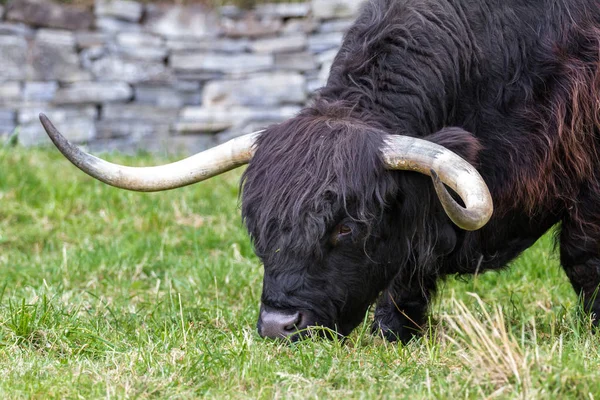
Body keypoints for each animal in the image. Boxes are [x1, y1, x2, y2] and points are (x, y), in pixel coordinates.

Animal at [39, 0, 600, 342]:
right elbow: (407, 268)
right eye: (258, 227)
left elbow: (583, 256)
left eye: (347, 227)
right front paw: (393, 336)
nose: (278, 325)